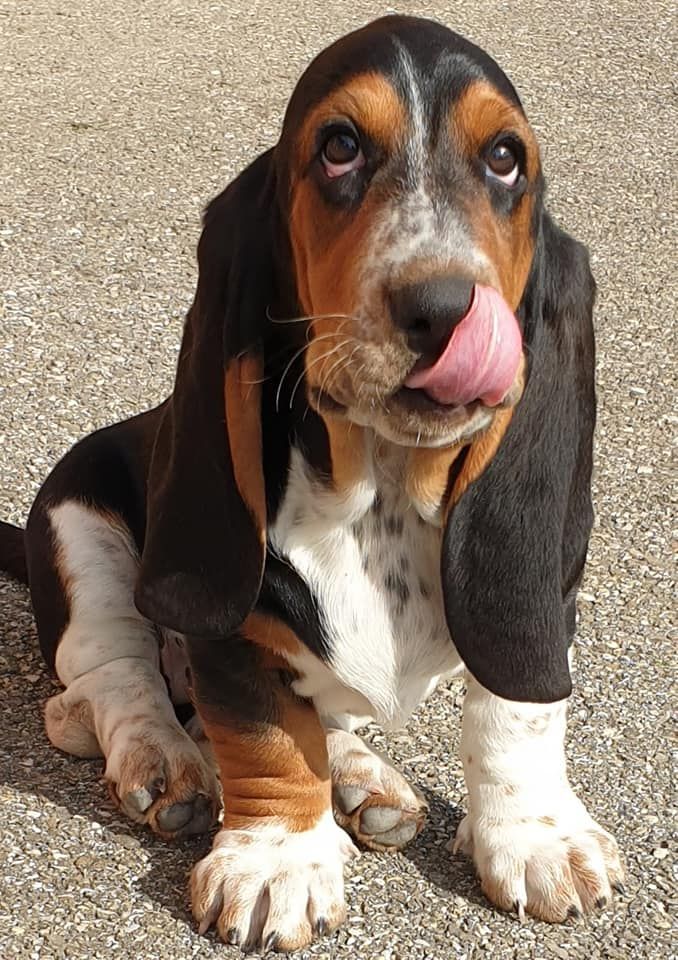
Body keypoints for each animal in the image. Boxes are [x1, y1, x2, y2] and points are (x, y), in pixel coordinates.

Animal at [1, 13, 628, 952]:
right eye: (339, 147)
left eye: (505, 158)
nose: (445, 309)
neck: (382, 489)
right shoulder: (226, 615)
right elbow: (261, 728)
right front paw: (277, 860)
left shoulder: (540, 599)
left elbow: (515, 707)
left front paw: (537, 835)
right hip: (78, 521)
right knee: (108, 680)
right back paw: (164, 760)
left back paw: (366, 780)